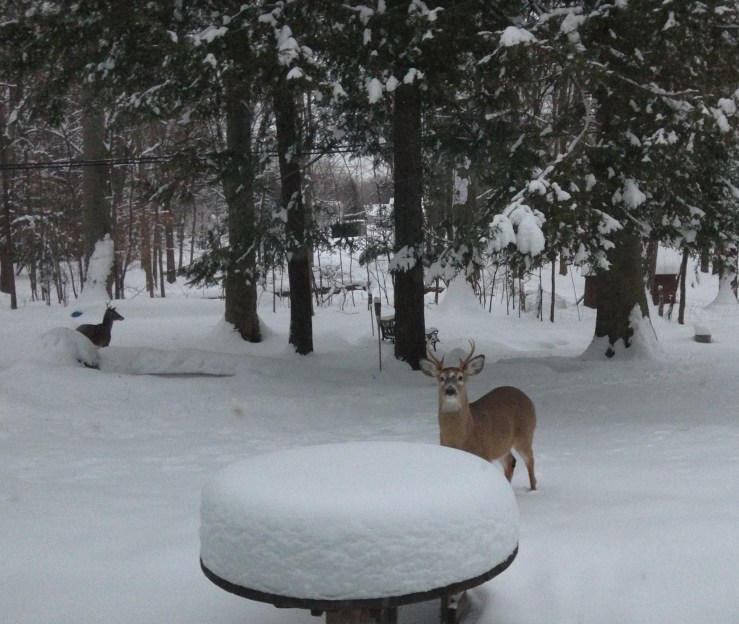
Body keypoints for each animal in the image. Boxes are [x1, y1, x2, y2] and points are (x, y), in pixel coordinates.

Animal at [420, 340, 537, 490]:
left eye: (460, 377)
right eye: (441, 378)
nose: (450, 390)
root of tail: (526, 396)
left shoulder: (483, 453)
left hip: (525, 434)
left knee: (530, 460)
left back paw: (533, 489)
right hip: (501, 445)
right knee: (511, 461)